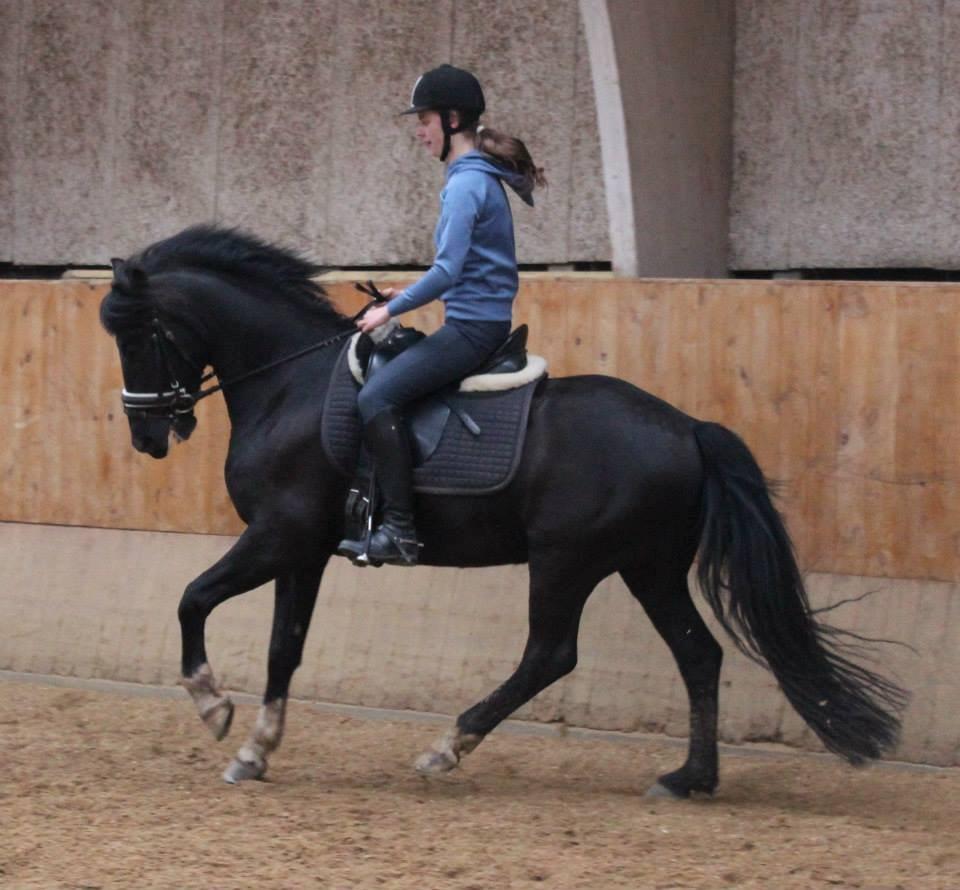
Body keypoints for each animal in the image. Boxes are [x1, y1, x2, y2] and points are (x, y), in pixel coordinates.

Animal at [100, 225, 907, 794]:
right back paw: (689, 779)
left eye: (139, 335)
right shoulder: (303, 549)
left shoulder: (278, 535)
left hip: (565, 559)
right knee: (696, 653)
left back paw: (447, 748)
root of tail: (687, 429)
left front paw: (213, 707)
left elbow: (191, 598)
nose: (147, 435)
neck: (287, 385)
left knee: (551, 653)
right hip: (646, 566)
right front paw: (256, 749)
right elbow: (283, 648)